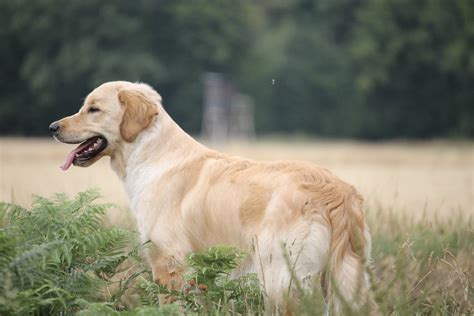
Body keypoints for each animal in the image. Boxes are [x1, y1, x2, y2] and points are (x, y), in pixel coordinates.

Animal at [48, 80, 374, 312]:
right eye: (85, 106)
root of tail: (337, 191)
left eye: (93, 109)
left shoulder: (169, 265)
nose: (52, 127)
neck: (152, 154)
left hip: (280, 278)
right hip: (340, 280)